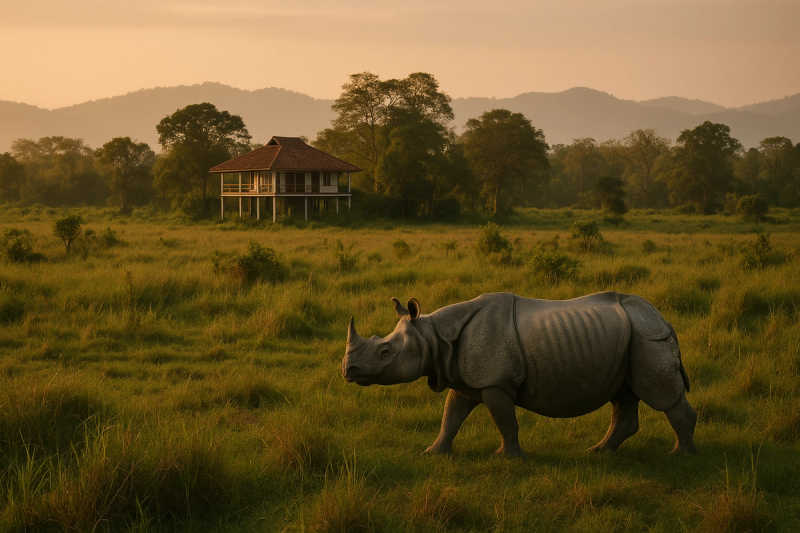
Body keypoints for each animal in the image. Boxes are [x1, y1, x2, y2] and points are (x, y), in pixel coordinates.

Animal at [342, 292, 697, 457]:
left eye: (385, 352)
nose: (347, 370)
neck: (435, 336)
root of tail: (664, 319)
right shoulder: (465, 379)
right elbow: (451, 415)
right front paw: (434, 452)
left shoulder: (495, 382)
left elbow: (504, 419)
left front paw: (507, 457)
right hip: (631, 339)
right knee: (623, 397)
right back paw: (598, 452)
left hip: (647, 337)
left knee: (661, 397)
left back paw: (680, 455)